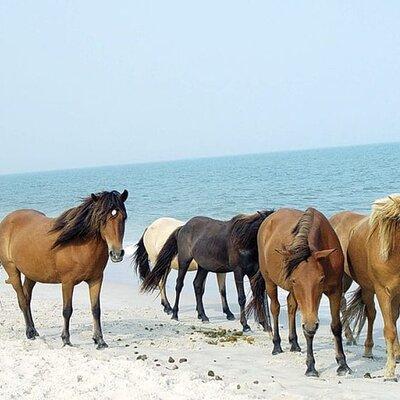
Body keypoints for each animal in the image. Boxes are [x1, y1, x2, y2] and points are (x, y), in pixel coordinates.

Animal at [0, 189, 128, 348]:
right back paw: (29, 332)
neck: (79, 244)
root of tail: (7, 219)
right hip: (12, 270)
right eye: (101, 219)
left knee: (27, 297)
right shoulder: (67, 283)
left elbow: (96, 309)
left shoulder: (96, 280)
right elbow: (67, 310)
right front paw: (66, 339)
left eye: (123, 218)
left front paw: (99, 340)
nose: (117, 254)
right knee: (22, 300)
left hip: (31, 274)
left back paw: (34, 330)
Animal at [141, 209, 276, 332]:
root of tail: (183, 227)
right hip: (184, 261)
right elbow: (241, 298)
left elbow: (258, 297)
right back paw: (174, 313)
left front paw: (265, 325)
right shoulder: (238, 272)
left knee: (197, 285)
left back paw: (203, 316)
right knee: (178, 285)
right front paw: (245, 325)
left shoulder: (252, 273)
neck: (243, 242)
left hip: (203, 267)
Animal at [248, 208, 352, 376]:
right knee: (275, 308)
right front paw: (311, 367)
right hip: (269, 282)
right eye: (295, 280)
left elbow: (336, 326)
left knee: (291, 307)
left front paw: (343, 364)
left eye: (321, 279)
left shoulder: (335, 291)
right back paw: (277, 345)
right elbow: (308, 331)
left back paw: (294, 343)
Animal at [332, 195, 400, 382]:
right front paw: (390, 371)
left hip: (366, 286)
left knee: (371, 314)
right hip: (347, 281)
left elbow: (394, 320)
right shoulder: (384, 292)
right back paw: (358, 343)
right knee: (347, 305)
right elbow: (389, 329)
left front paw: (396, 355)